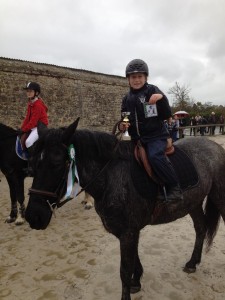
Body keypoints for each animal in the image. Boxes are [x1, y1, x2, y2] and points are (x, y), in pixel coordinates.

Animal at [25, 119, 225, 300]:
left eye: (57, 163)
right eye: (32, 163)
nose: (33, 216)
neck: (111, 176)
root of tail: (215, 147)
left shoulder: (128, 232)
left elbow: (124, 270)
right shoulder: (126, 231)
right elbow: (133, 261)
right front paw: (137, 281)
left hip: (218, 198)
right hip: (194, 203)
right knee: (200, 228)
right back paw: (192, 263)